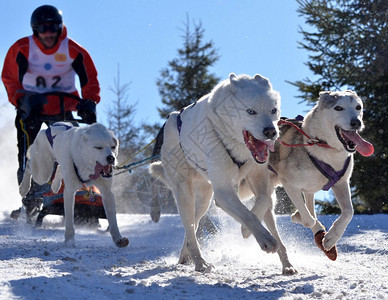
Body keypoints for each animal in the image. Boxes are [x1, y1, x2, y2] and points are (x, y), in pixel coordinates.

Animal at [152, 73, 298, 274]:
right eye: (250, 111)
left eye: (273, 110)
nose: (271, 131)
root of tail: (171, 119)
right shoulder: (223, 193)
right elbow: (248, 215)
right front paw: (263, 238)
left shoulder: (259, 180)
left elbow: (262, 201)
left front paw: (247, 229)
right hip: (185, 194)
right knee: (190, 227)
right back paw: (200, 262)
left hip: (204, 199)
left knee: (194, 227)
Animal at [242, 91, 372, 260]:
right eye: (338, 108)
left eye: (358, 107)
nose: (356, 122)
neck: (322, 146)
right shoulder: (290, 184)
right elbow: (308, 219)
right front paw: (301, 218)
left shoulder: (341, 183)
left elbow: (349, 212)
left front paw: (330, 238)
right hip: (267, 194)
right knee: (273, 223)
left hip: (309, 190)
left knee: (310, 204)